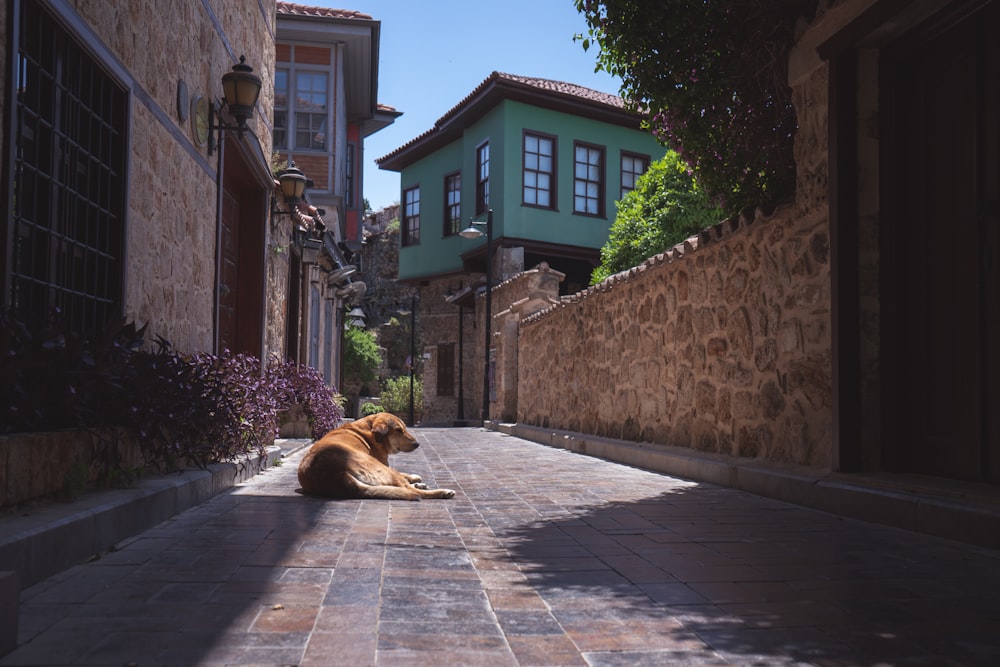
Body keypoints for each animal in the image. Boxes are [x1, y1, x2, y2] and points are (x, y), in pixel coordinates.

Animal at [294, 412, 456, 500]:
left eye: (404, 428)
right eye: (399, 430)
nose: (417, 444)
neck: (368, 431)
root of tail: (336, 475)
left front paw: (415, 479)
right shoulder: (384, 464)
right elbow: (402, 474)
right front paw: (415, 479)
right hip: (376, 465)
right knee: (411, 490)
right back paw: (443, 492)